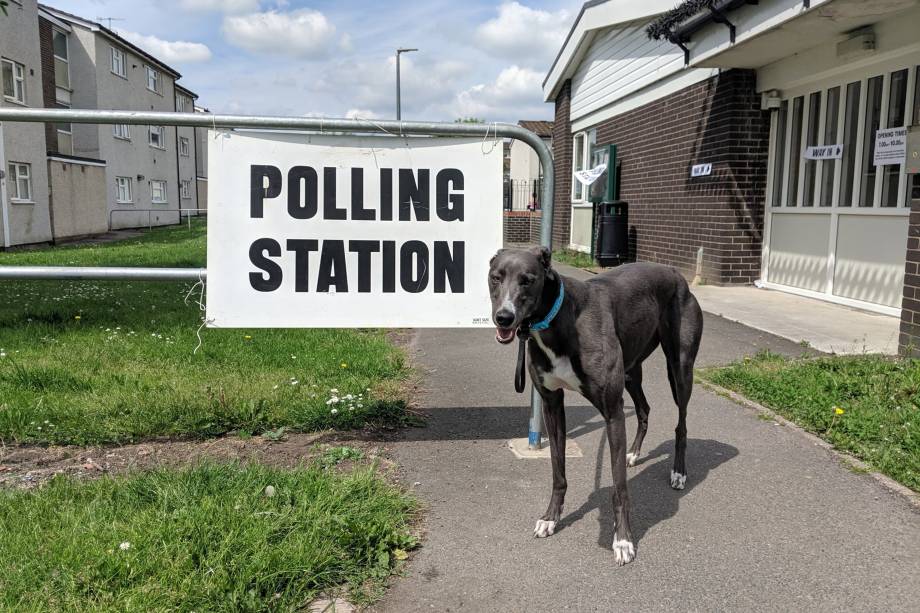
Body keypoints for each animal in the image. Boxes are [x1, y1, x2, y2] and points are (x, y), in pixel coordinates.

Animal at [488, 244, 704, 564]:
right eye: (495, 277)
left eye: (527, 280)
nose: (504, 317)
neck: (559, 319)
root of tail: (676, 273)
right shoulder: (552, 404)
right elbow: (558, 472)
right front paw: (550, 518)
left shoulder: (612, 412)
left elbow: (620, 488)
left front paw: (623, 540)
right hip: (631, 370)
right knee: (644, 409)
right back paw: (633, 453)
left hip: (679, 370)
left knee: (682, 423)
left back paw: (678, 471)